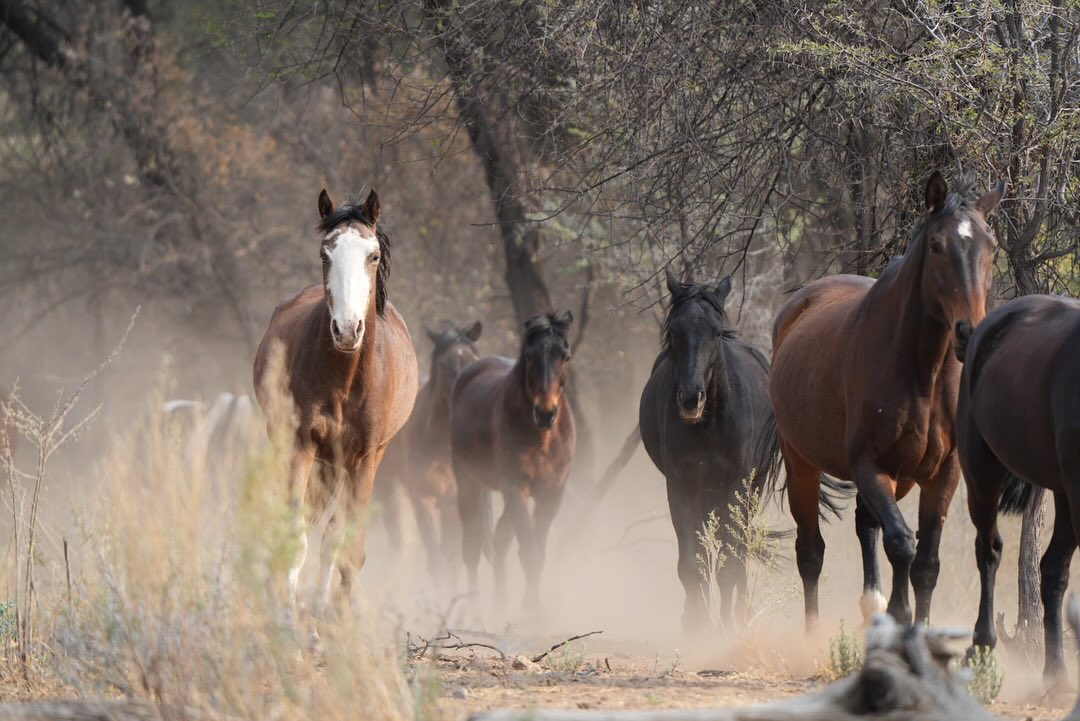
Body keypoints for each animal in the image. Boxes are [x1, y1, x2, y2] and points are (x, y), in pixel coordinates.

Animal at [252, 188, 418, 614]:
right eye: (325, 254)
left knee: (333, 534)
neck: (346, 380)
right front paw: (286, 608)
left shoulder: (363, 459)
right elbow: (294, 536)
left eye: (372, 255)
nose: (346, 329)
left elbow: (348, 547)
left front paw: (336, 614)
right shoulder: (300, 444)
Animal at [450, 311, 575, 610]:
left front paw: (532, 607)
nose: (546, 413)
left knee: (500, 538)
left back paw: (500, 602)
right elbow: (529, 551)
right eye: (529, 356)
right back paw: (475, 606)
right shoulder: (517, 489)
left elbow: (536, 551)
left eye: (565, 356)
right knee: (472, 546)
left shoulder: (552, 494)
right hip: (468, 483)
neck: (542, 439)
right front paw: (531, 610)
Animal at [640, 272, 788, 632]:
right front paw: (698, 625)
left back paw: (741, 613)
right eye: (673, 331)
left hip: (746, 491)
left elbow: (730, 562)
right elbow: (692, 563)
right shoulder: (681, 488)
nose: (691, 399)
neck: (709, 425)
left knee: (740, 548)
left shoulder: (735, 487)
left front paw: (728, 626)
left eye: (716, 332)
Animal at [768, 172, 1005, 628]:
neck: (922, 371)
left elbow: (925, 563)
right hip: (801, 462)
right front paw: (899, 618)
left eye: (992, 246)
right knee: (811, 551)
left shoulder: (942, 474)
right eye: (936, 246)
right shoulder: (873, 467)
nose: (968, 331)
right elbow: (901, 544)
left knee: (865, 526)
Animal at [957, 294, 1080, 681]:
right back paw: (982, 645)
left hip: (1063, 493)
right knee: (989, 550)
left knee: (1052, 569)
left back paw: (1055, 673)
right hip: (982, 476)